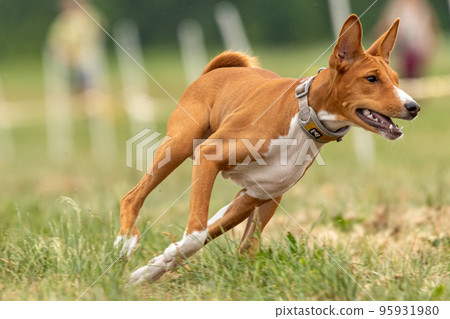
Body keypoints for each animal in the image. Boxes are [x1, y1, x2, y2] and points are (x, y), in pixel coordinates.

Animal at [115, 15, 418, 284]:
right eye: (371, 79)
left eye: (396, 78)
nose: (413, 106)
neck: (303, 119)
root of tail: (215, 71)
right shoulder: (209, 157)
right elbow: (195, 235)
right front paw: (152, 266)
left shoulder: (259, 195)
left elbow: (229, 243)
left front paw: (150, 270)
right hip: (177, 146)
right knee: (132, 197)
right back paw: (125, 242)